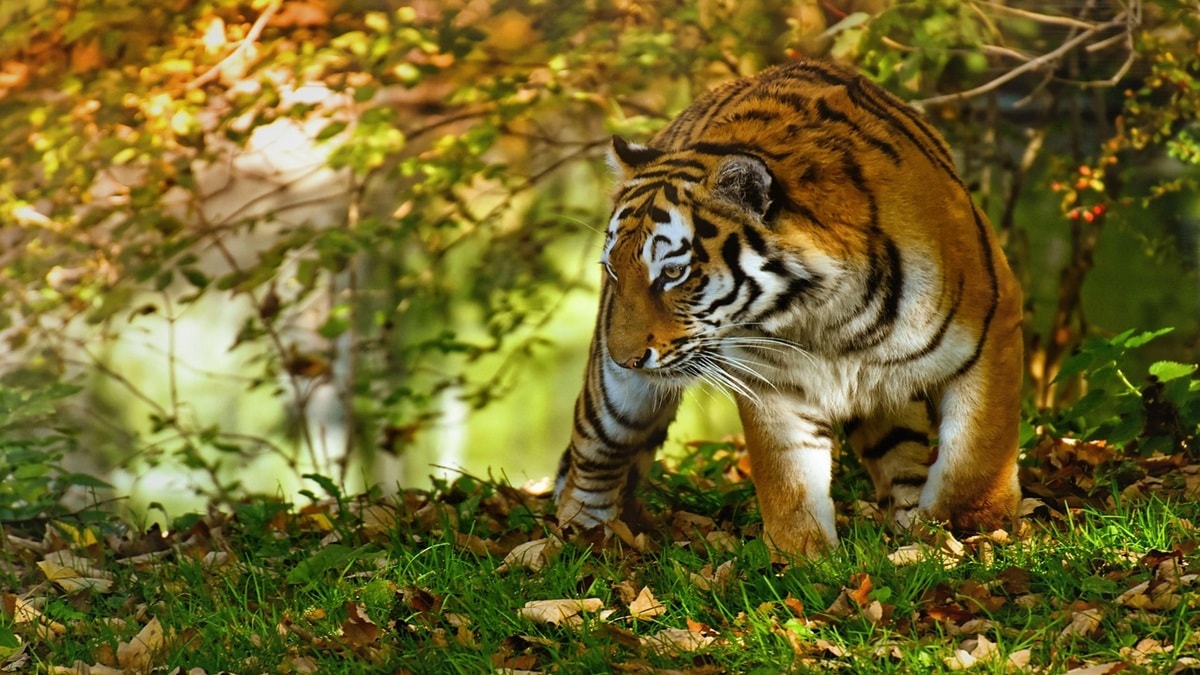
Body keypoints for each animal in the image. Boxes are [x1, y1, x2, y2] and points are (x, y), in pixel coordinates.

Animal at [554, 58, 1024, 558]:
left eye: (673, 273)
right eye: (614, 269)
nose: (626, 357)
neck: (826, 315)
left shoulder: (994, 327)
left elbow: (978, 452)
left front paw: (972, 528)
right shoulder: (770, 380)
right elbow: (789, 479)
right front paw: (803, 557)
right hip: (615, 399)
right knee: (591, 460)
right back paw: (580, 541)